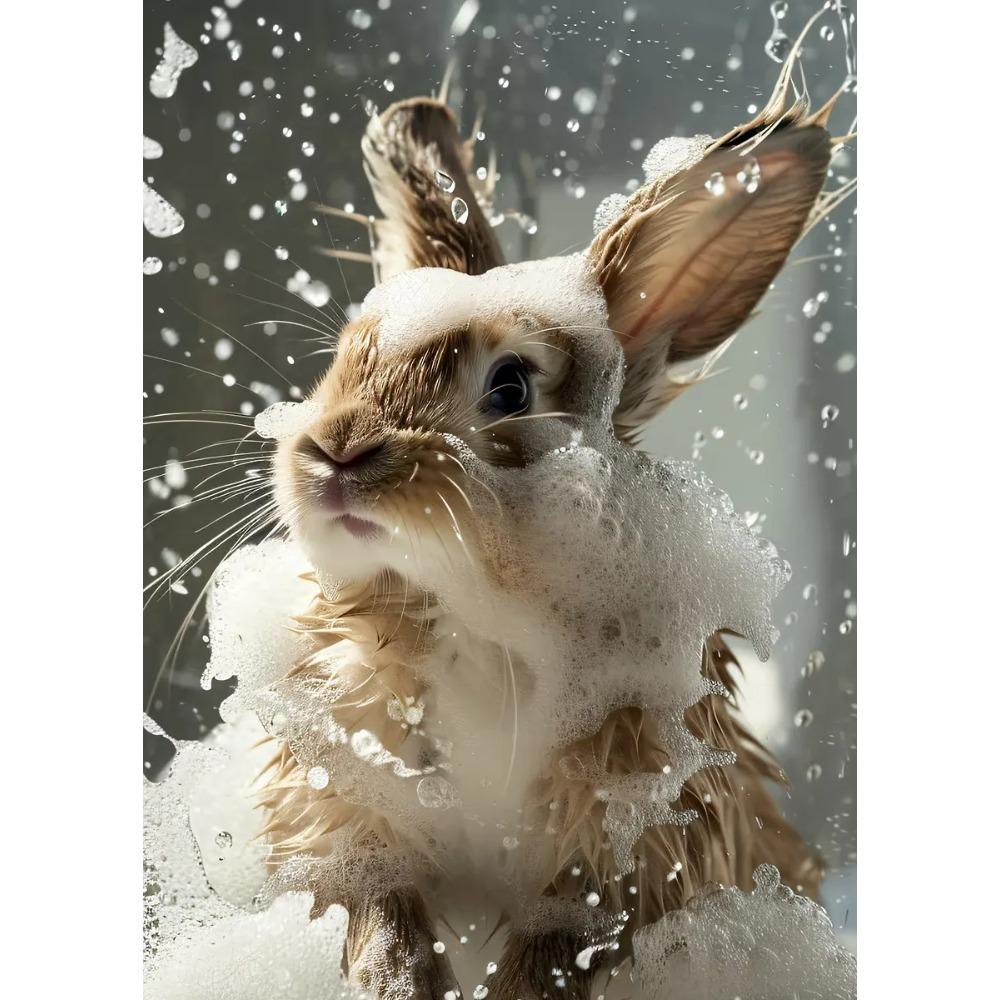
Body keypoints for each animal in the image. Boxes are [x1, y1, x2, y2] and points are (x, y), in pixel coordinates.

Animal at [251, 35, 850, 1000]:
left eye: (509, 387)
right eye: (344, 357)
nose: (335, 454)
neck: (470, 617)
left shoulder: (622, 855)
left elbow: (553, 951)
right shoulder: (353, 816)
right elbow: (381, 912)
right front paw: (391, 984)